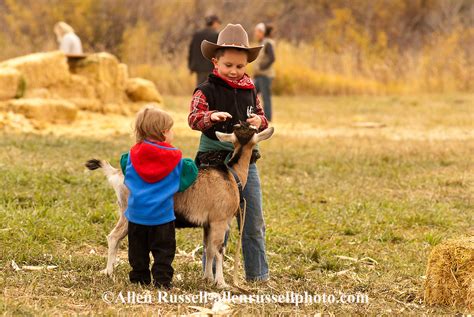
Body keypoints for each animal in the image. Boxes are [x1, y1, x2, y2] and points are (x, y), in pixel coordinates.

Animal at [86, 123, 274, 286]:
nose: (257, 156)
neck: (231, 175)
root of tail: (117, 174)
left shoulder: (208, 224)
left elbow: (208, 249)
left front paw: (207, 278)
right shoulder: (220, 221)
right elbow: (219, 250)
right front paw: (221, 283)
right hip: (130, 214)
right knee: (113, 237)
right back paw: (109, 272)